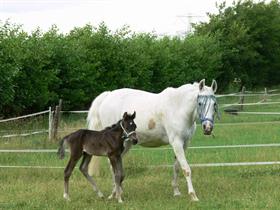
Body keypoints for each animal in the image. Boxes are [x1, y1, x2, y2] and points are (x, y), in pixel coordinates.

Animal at [87, 79, 219, 201]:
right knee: (112, 166)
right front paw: (193, 195)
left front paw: (176, 192)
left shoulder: (185, 143)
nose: (208, 128)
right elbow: (186, 169)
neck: (178, 108)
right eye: (200, 103)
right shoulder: (176, 142)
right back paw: (115, 193)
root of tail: (107, 96)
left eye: (214, 104)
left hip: (126, 144)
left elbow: (176, 167)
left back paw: (118, 191)